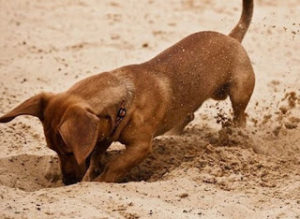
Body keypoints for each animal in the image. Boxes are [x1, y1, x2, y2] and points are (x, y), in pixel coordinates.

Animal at [0, 0, 254, 185]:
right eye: (53, 150)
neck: (126, 99)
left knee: (240, 116)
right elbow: (96, 157)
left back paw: (237, 134)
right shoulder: (101, 135)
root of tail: (231, 37)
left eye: (69, 151)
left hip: (240, 92)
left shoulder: (140, 147)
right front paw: (91, 174)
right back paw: (174, 134)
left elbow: (115, 166)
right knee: (187, 115)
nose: (68, 181)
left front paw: (98, 182)